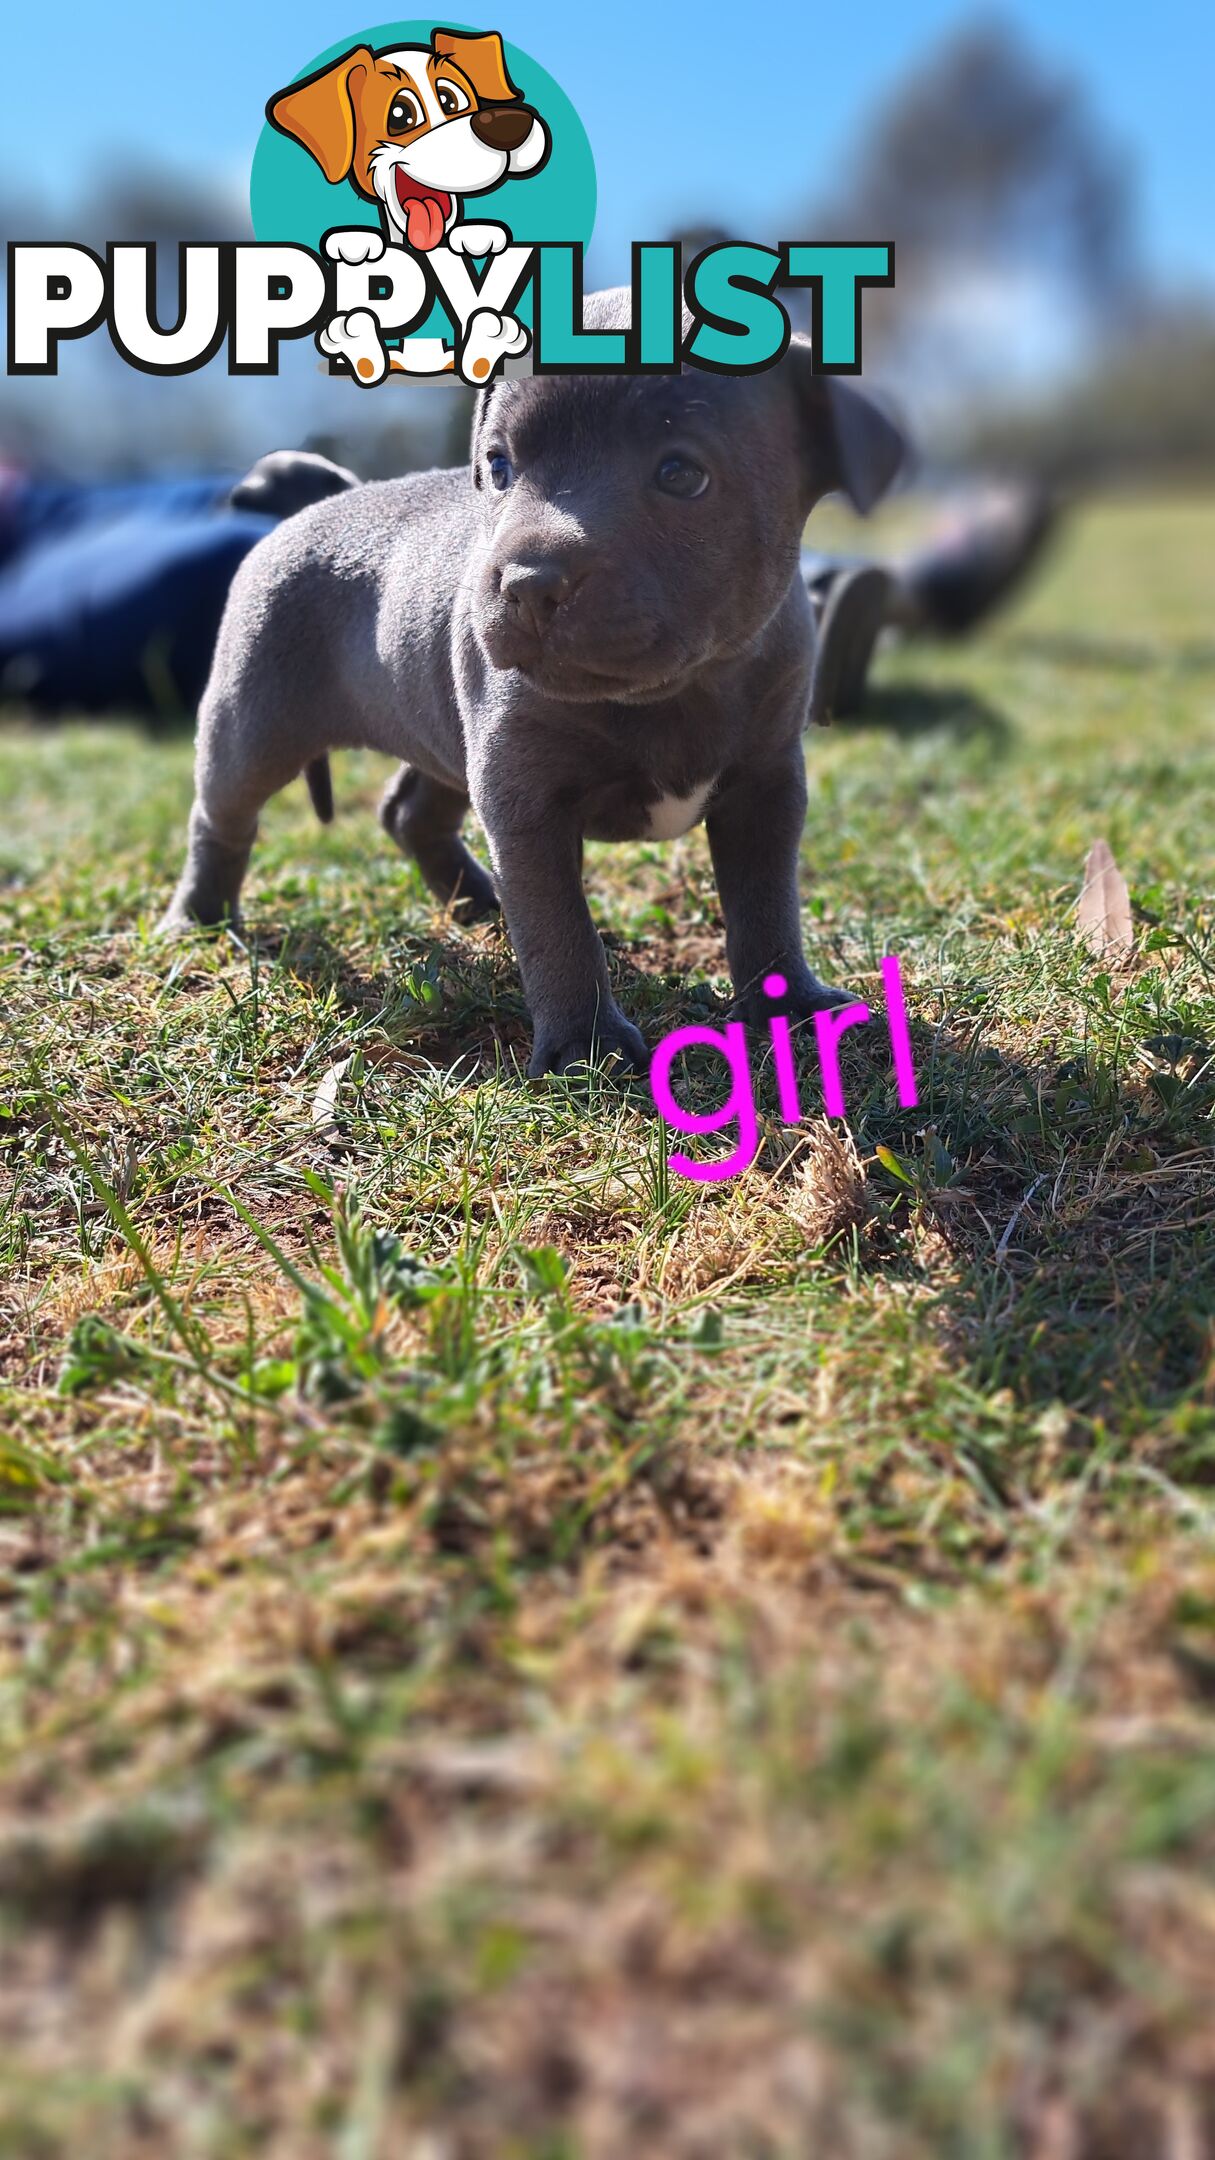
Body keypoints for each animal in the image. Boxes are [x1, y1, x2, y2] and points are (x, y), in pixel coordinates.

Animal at [161, 287, 899, 1080]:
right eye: (498, 467)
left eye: (681, 474)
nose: (526, 582)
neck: (673, 692)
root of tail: (311, 508)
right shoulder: (526, 797)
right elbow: (559, 928)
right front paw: (587, 1047)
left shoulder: (765, 786)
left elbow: (766, 905)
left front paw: (789, 1004)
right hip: (253, 722)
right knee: (222, 817)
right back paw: (197, 919)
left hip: (444, 730)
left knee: (411, 812)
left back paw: (481, 903)